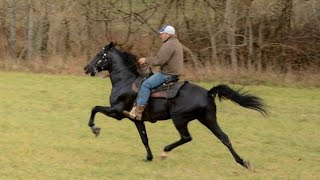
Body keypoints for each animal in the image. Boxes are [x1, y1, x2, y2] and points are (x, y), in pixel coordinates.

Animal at [84, 41, 266, 169]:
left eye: (100, 54)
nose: (86, 68)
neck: (125, 81)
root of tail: (208, 93)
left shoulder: (117, 112)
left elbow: (94, 108)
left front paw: (95, 128)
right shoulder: (137, 120)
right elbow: (144, 138)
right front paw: (148, 157)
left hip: (179, 119)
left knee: (187, 137)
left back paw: (165, 151)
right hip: (208, 119)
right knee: (224, 137)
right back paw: (242, 162)